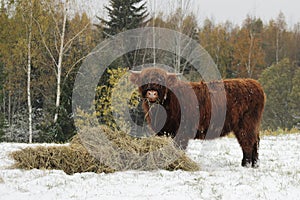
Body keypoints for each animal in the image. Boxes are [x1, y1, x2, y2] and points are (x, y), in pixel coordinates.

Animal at [130, 67, 266, 167]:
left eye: (162, 81)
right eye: (143, 80)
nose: (152, 93)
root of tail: (255, 84)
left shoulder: (181, 133)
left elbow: (179, 149)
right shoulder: (164, 132)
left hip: (246, 124)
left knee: (247, 142)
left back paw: (246, 164)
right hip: (252, 125)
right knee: (255, 142)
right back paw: (254, 164)